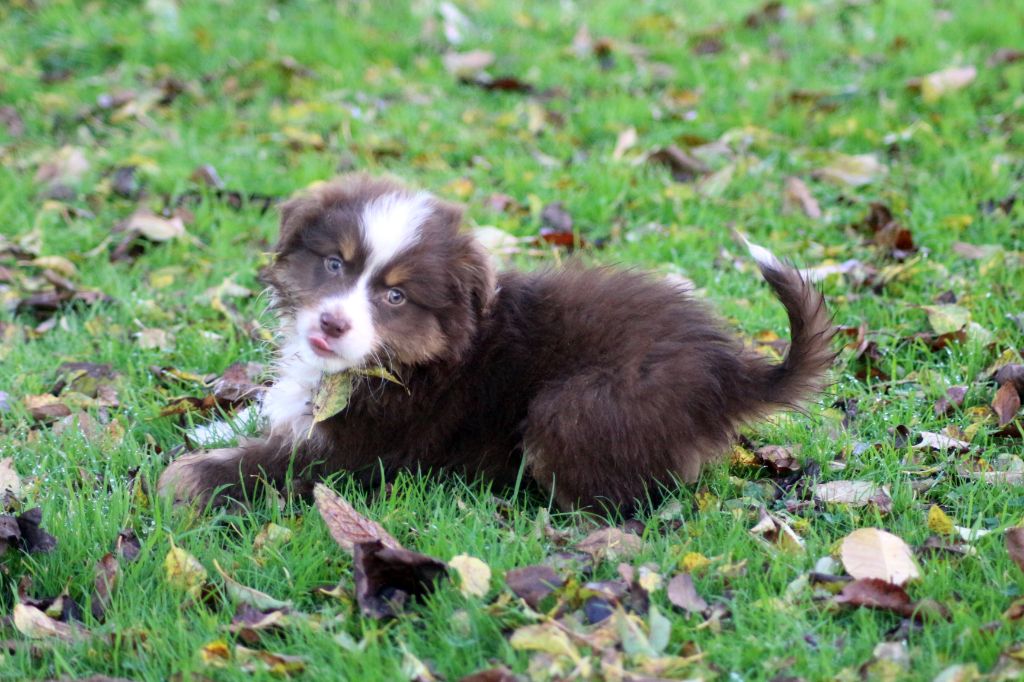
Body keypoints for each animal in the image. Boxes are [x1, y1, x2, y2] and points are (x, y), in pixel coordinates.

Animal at [157, 174, 831, 509]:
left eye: (396, 297)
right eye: (333, 265)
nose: (331, 326)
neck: (411, 362)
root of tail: (728, 369)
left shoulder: (365, 448)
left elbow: (271, 464)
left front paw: (188, 478)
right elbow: (274, 416)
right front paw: (214, 427)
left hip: (580, 403)